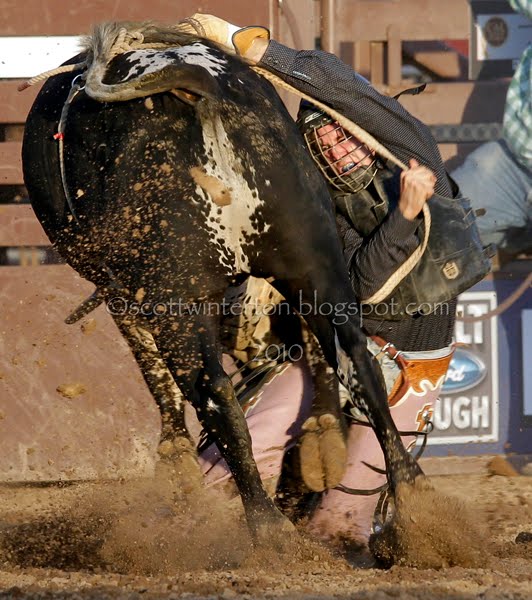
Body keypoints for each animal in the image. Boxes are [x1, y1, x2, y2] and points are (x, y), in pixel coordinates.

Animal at [21, 21, 422, 546]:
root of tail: (201, 84)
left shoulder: (124, 292)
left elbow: (154, 369)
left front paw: (176, 458)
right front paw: (322, 433)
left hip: (177, 300)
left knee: (214, 393)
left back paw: (267, 528)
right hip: (316, 261)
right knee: (358, 359)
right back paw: (407, 499)